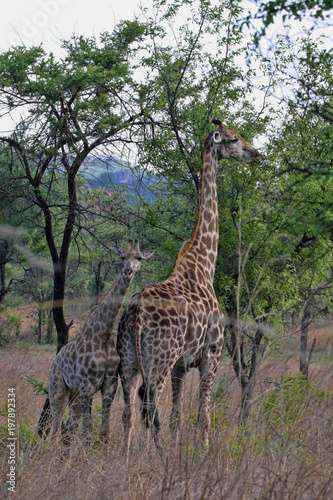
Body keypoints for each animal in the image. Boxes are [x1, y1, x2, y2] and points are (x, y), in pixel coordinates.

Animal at [39, 240, 154, 444]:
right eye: (122, 257)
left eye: (139, 258)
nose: (128, 271)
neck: (103, 334)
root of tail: (55, 361)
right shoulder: (88, 386)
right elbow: (88, 430)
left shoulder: (109, 385)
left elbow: (103, 431)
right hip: (58, 390)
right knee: (55, 427)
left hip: (74, 395)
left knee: (69, 428)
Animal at [116, 119, 262, 456]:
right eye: (233, 138)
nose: (256, 153)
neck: (204, 265)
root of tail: (137, 312)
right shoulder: (211, 355)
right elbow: (203, 415)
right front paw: (203, 452)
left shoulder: (181, 366)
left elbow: (177, 417)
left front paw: (178, 452)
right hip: (159, 359)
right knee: (149, 404)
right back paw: (150, 455)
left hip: (129, 361)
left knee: (129, 409)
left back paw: (126, 457)